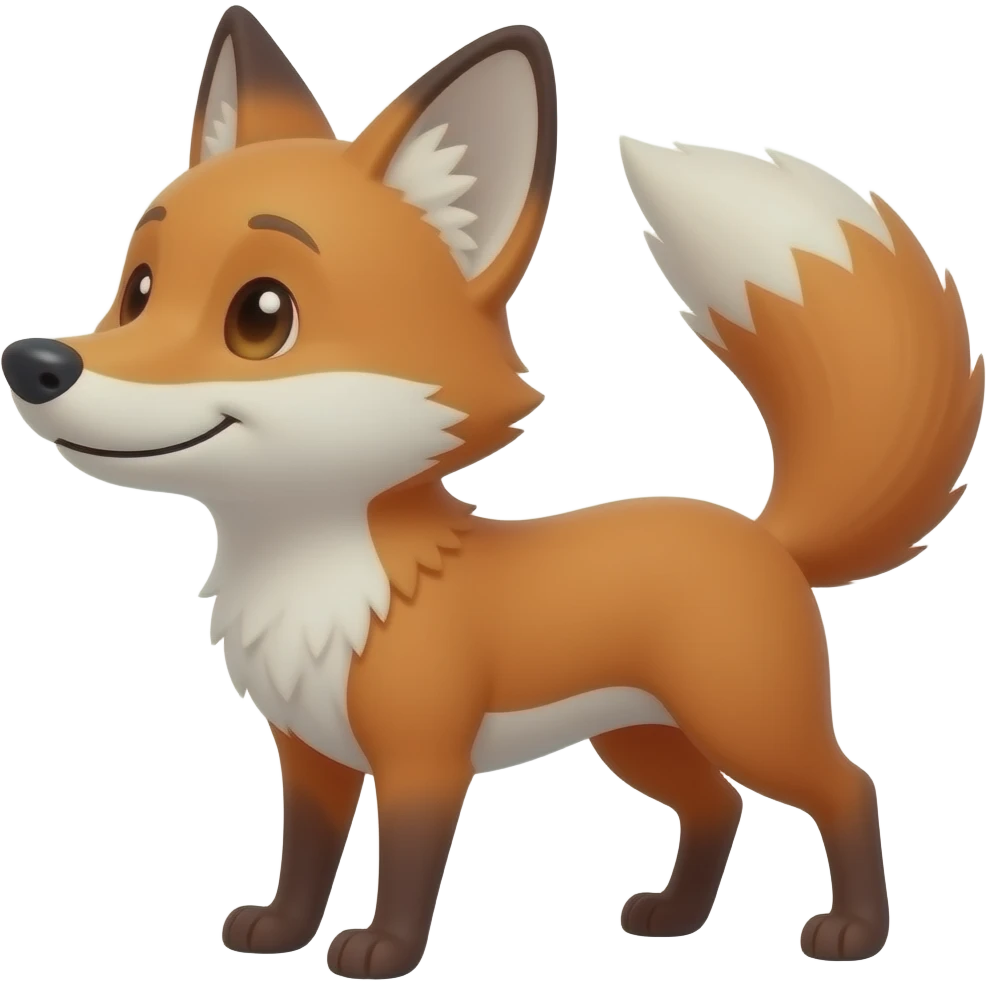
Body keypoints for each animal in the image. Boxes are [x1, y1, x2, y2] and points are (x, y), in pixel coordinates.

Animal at [3, 4, 982, 978]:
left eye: (261, 317)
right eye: (137, 290)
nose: (34, 363)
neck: (317, 576)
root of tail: (764, 534)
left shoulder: (424, 757)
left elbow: (405, 866)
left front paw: (382, 952)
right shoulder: (310, 753)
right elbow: (306, 857)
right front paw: (279, 933)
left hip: (745, 717)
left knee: (847, 787)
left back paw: (855, 932)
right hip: (640, 737)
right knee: (717, 806)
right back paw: (673, 916)